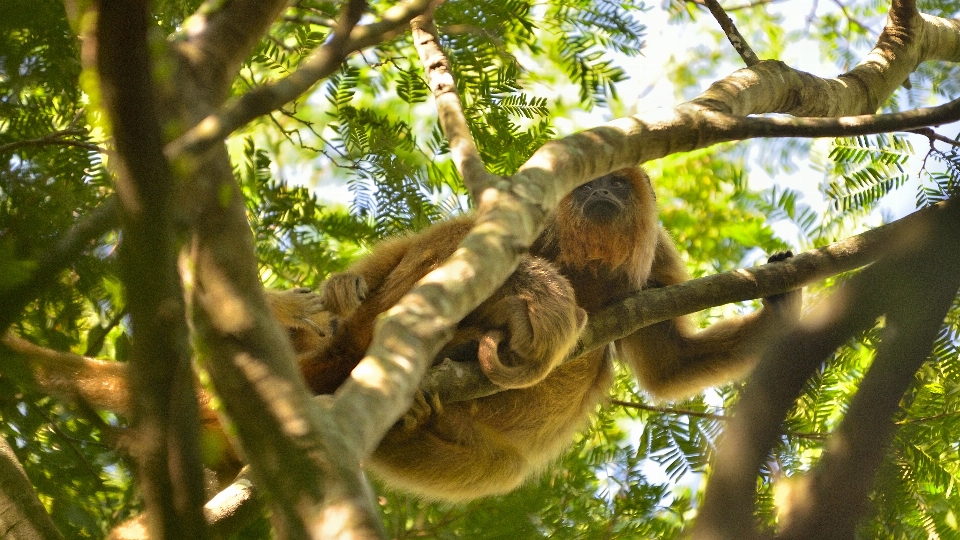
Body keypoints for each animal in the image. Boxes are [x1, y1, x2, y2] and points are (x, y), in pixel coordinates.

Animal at [284, 166, 804, 502]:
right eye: (590, 181)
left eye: (617, 182)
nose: (600, 190)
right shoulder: (535, 224)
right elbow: (461, 241)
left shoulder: (659, 259)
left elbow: (670, 364)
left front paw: (782, 302)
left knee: (501, 466)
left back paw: (412, 414)